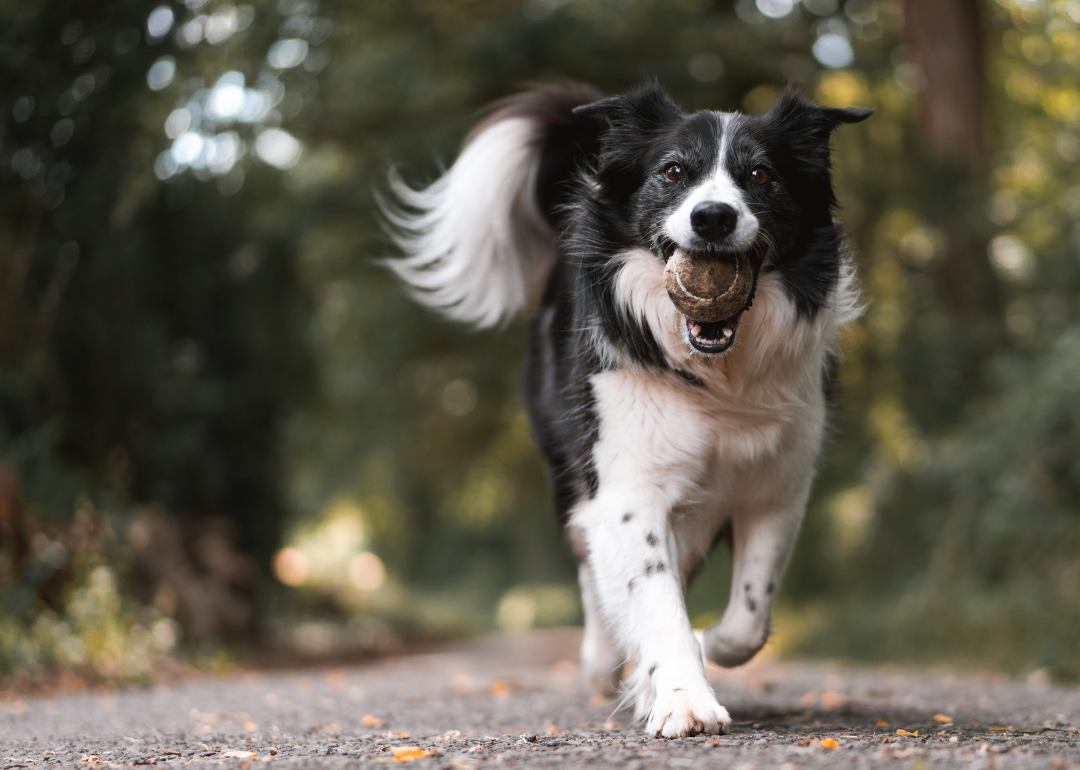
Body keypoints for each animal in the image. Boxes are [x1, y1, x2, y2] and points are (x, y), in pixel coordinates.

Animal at [380, 80, 868, 734]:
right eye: (674, 171)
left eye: (761, 175)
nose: (713, 216)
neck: (718, 376)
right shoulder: (626, 486)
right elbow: (655, 600)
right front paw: (684, 699)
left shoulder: (777, 486)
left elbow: (748, 616)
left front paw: (705, 652)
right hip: (572, 473)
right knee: (593, 569)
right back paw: (602, 664)